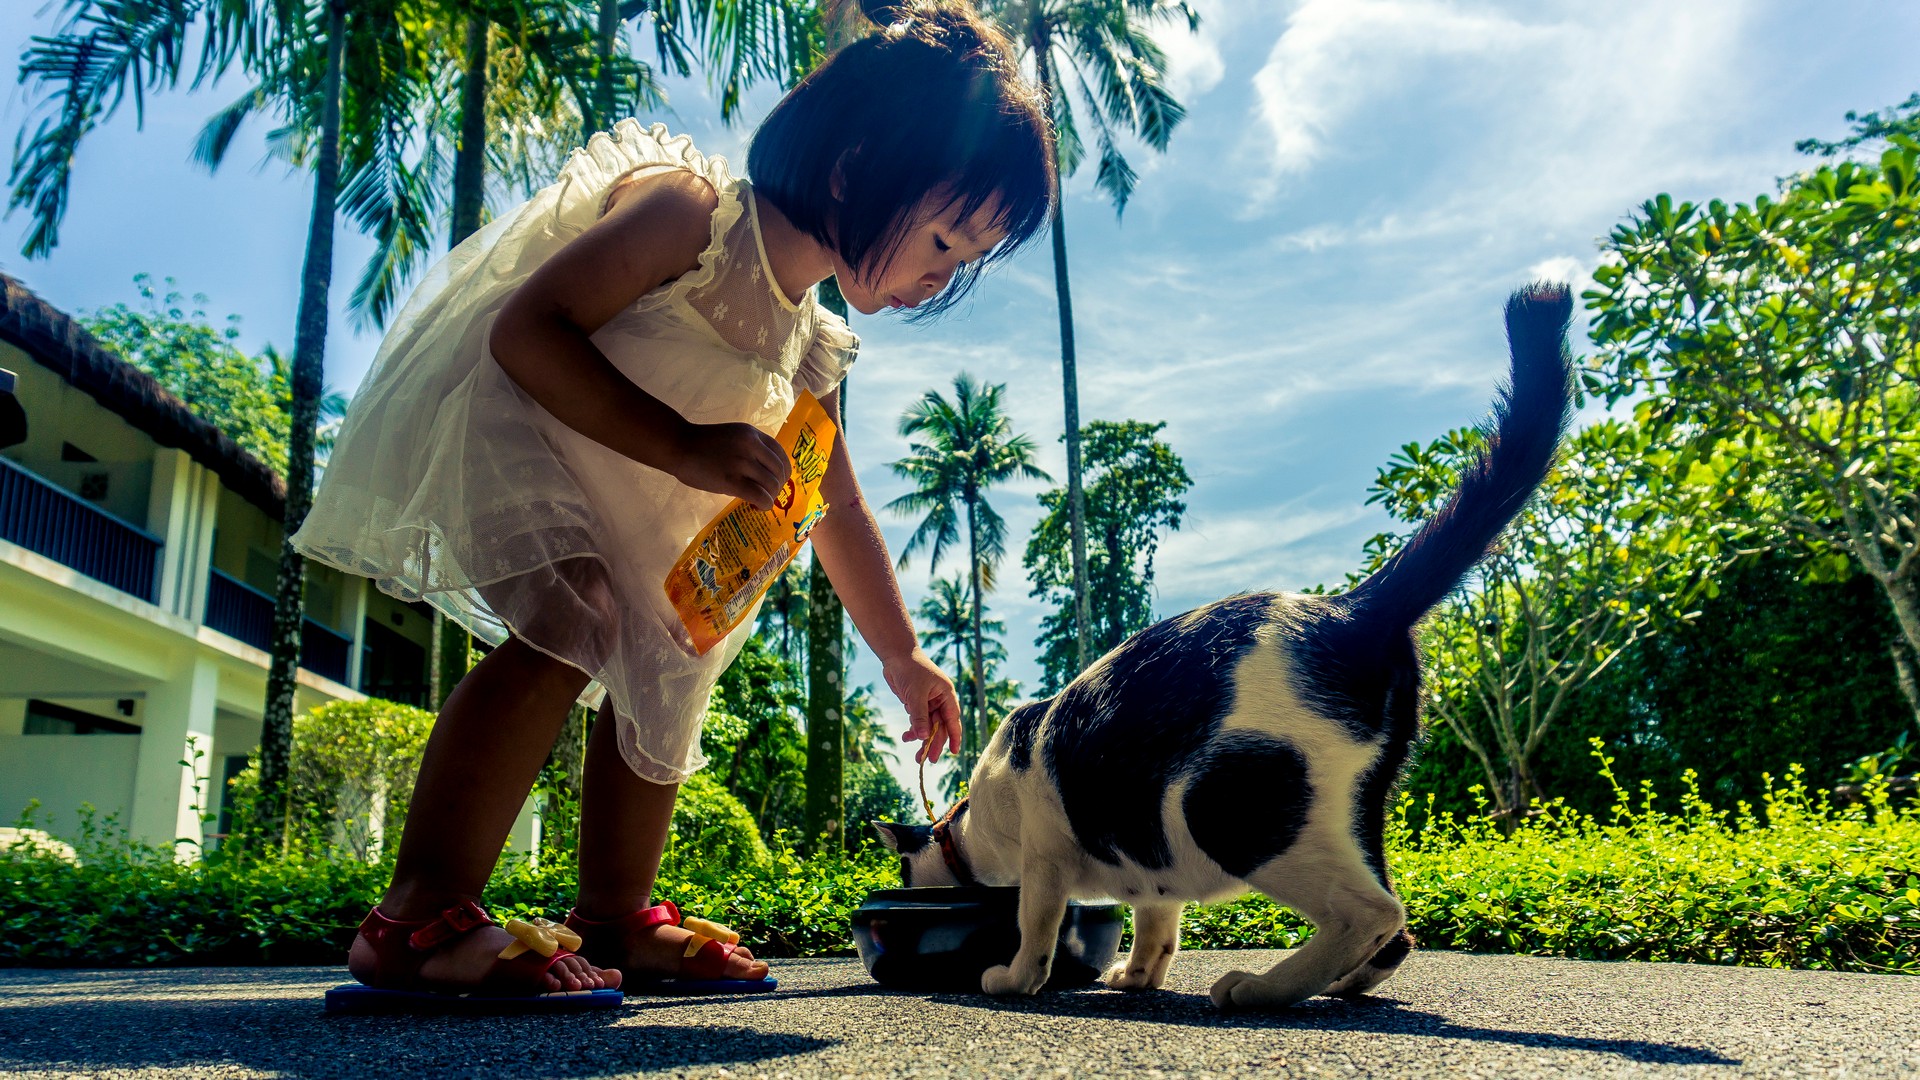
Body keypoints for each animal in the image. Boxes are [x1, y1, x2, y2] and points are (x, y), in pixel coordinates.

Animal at [875, 282, 1574, 1006]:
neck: (975, 820)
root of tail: (1350, 607)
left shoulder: (1045, 855)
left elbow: (1035, 925)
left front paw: (1013, 979)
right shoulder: (1148, 859)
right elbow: (1157, 922)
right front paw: (1136, 976)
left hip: (1231, 806)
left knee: (1372, 913)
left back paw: (1262, 988)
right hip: (1347, 810)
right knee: (1394, 928)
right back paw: (1341, 982)